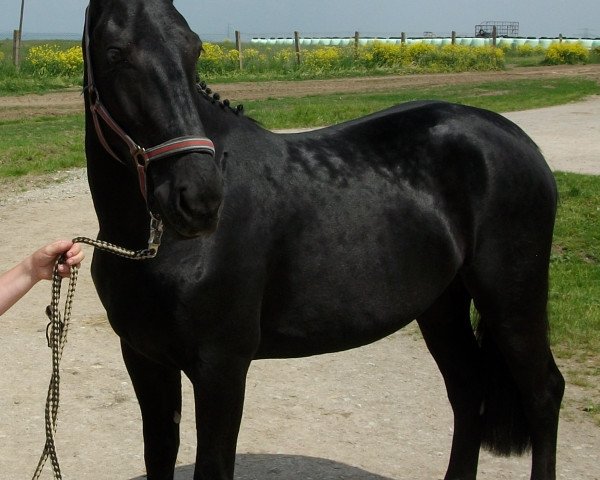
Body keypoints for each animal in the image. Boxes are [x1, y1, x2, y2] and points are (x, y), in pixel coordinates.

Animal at [83, 0, 564, 480]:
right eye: (114, 53)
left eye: (194, 48)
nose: (199, 198)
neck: (156, 246)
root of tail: (517, 139)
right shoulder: (144, 358)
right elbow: (159, 452)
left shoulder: (221, 366)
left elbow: (214, 465)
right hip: (442, 304)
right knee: (468, 392)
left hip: (511, 300)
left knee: (543, 394)